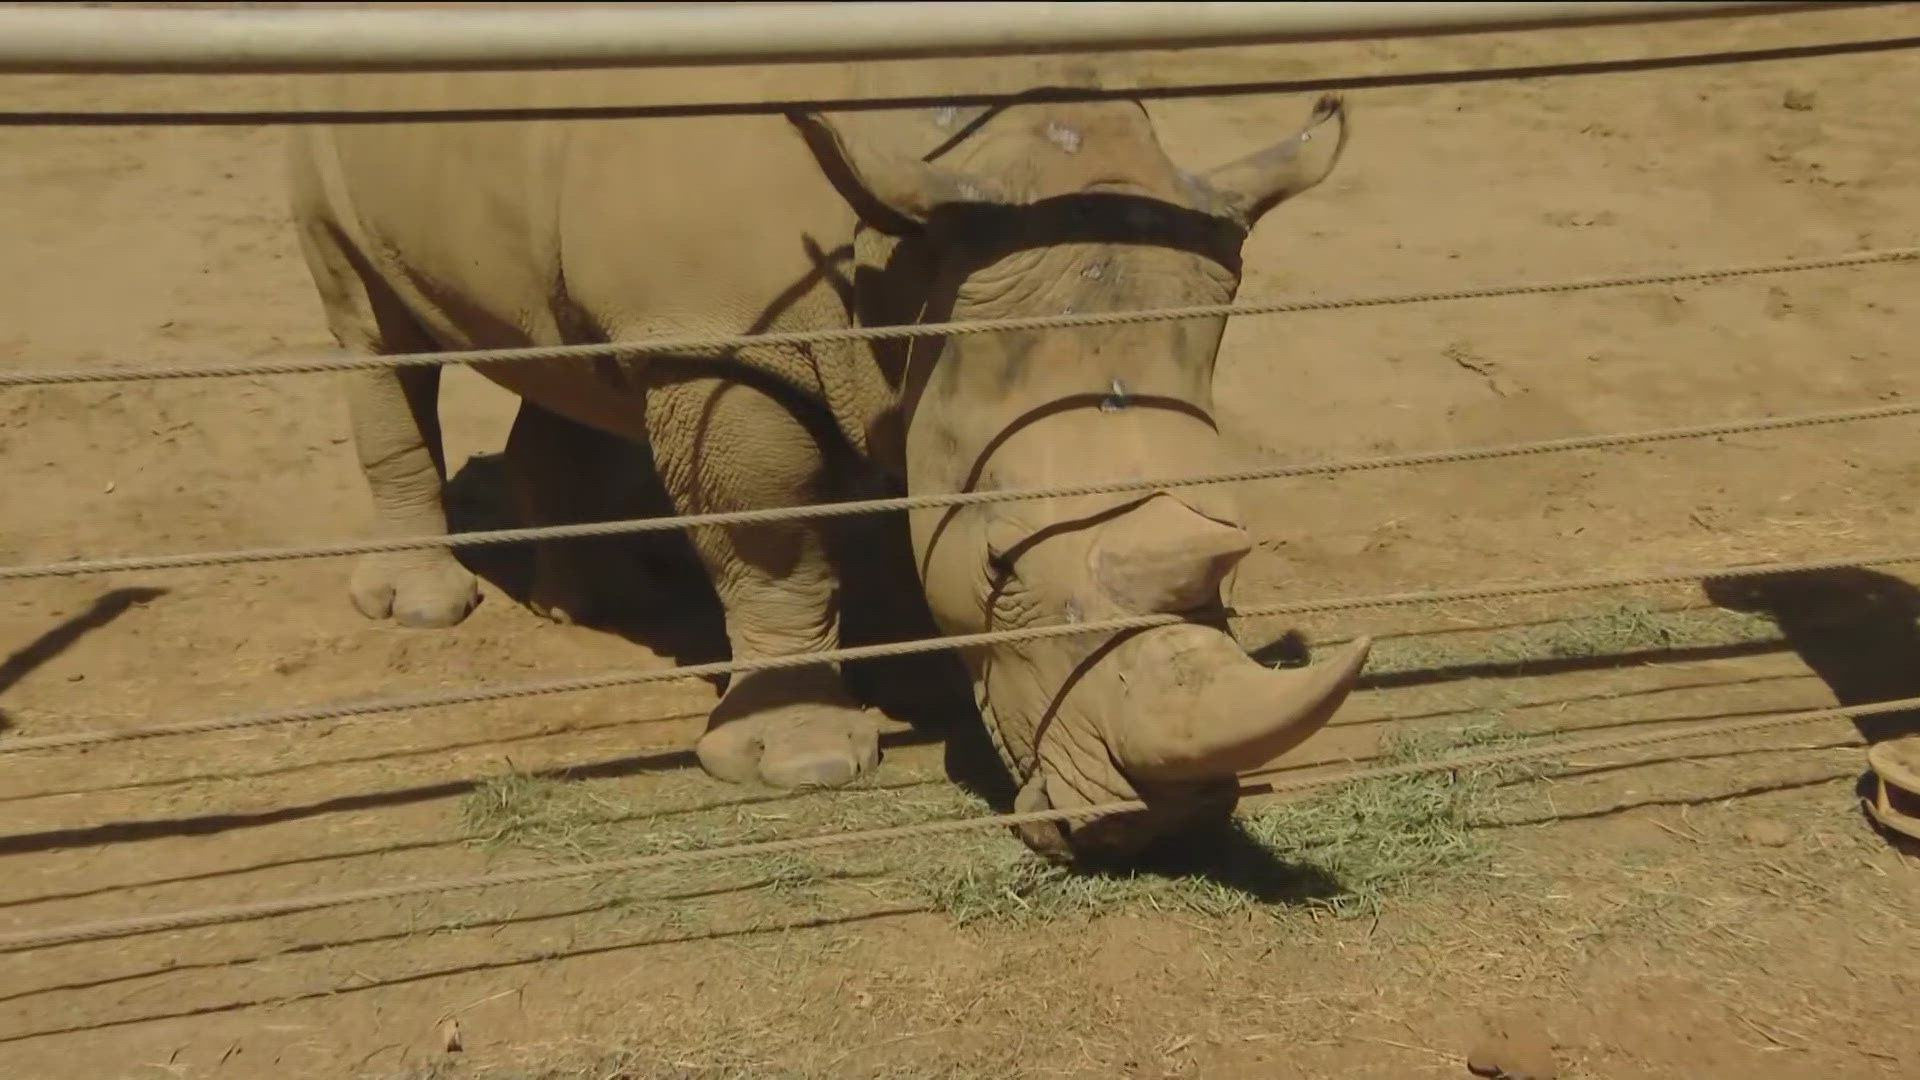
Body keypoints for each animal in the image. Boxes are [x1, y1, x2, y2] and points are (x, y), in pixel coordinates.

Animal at [284, 75, 1374, 857]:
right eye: (1001, 568)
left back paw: (596, 604)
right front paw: (805, 762)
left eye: (1235, 542)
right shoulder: (719, 342)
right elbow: (774, 540)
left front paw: (924, 679)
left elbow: (898, 510)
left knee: (571, 360)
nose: (1163, 824)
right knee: (371, 326)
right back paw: (428, 610)